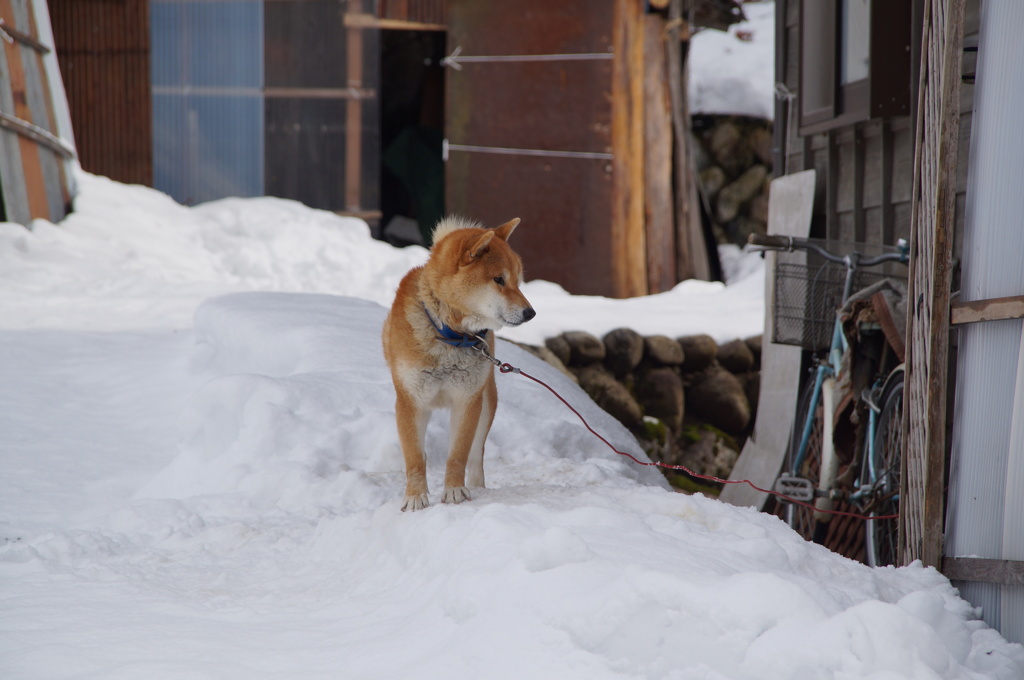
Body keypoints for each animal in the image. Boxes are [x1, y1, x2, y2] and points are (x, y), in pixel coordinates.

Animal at [382, 216, 536, 510]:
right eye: (499, 279)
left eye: (518, 281)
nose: (530, 313)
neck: (449, 335)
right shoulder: (410, 402)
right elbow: (414, 459)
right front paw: (415, 496)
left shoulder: (467, 400)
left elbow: (458, 455)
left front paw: (454, 491)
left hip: (486, 402)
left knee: (476, 454)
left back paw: (476, 486)